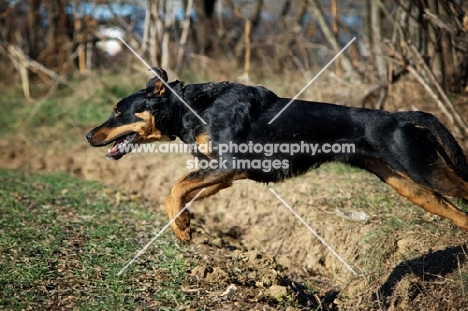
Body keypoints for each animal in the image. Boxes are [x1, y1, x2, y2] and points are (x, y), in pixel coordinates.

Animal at [86, 68, 468, 243]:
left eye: (118, 112)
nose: (89, 135)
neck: (191, 107)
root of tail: (405, 116)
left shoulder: (227, 165)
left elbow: (175, 187)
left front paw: (182, 229)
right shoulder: (223, 174)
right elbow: (181, 192)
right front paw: (184, 221)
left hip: (426, 173)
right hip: (412, 187)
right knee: (460, 215)